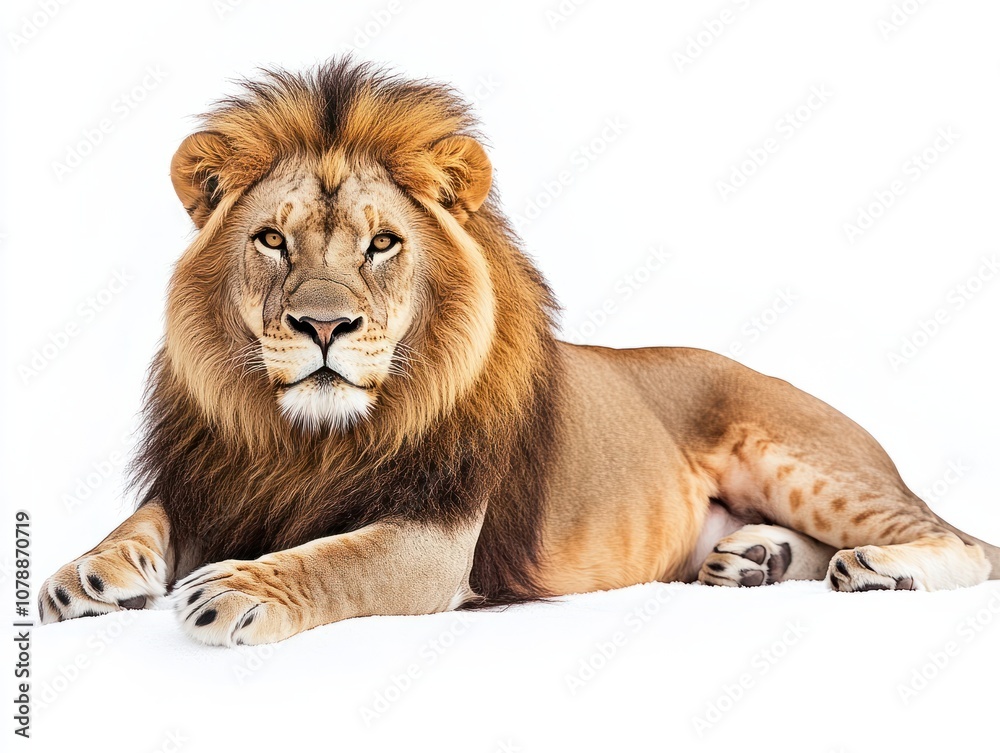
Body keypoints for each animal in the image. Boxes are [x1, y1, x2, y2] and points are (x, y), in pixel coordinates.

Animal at [39, 58, 1000, 646]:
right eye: (272, 240)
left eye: (382, 244)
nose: (322, 326)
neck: (307, 439)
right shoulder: (221, 475)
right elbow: (146, 517)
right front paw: (86, 572)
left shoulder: (436, 534)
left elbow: (337, 560)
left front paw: (241, 587)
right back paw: (753, 560)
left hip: (803, 456)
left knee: (965, 541)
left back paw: (877, 569)